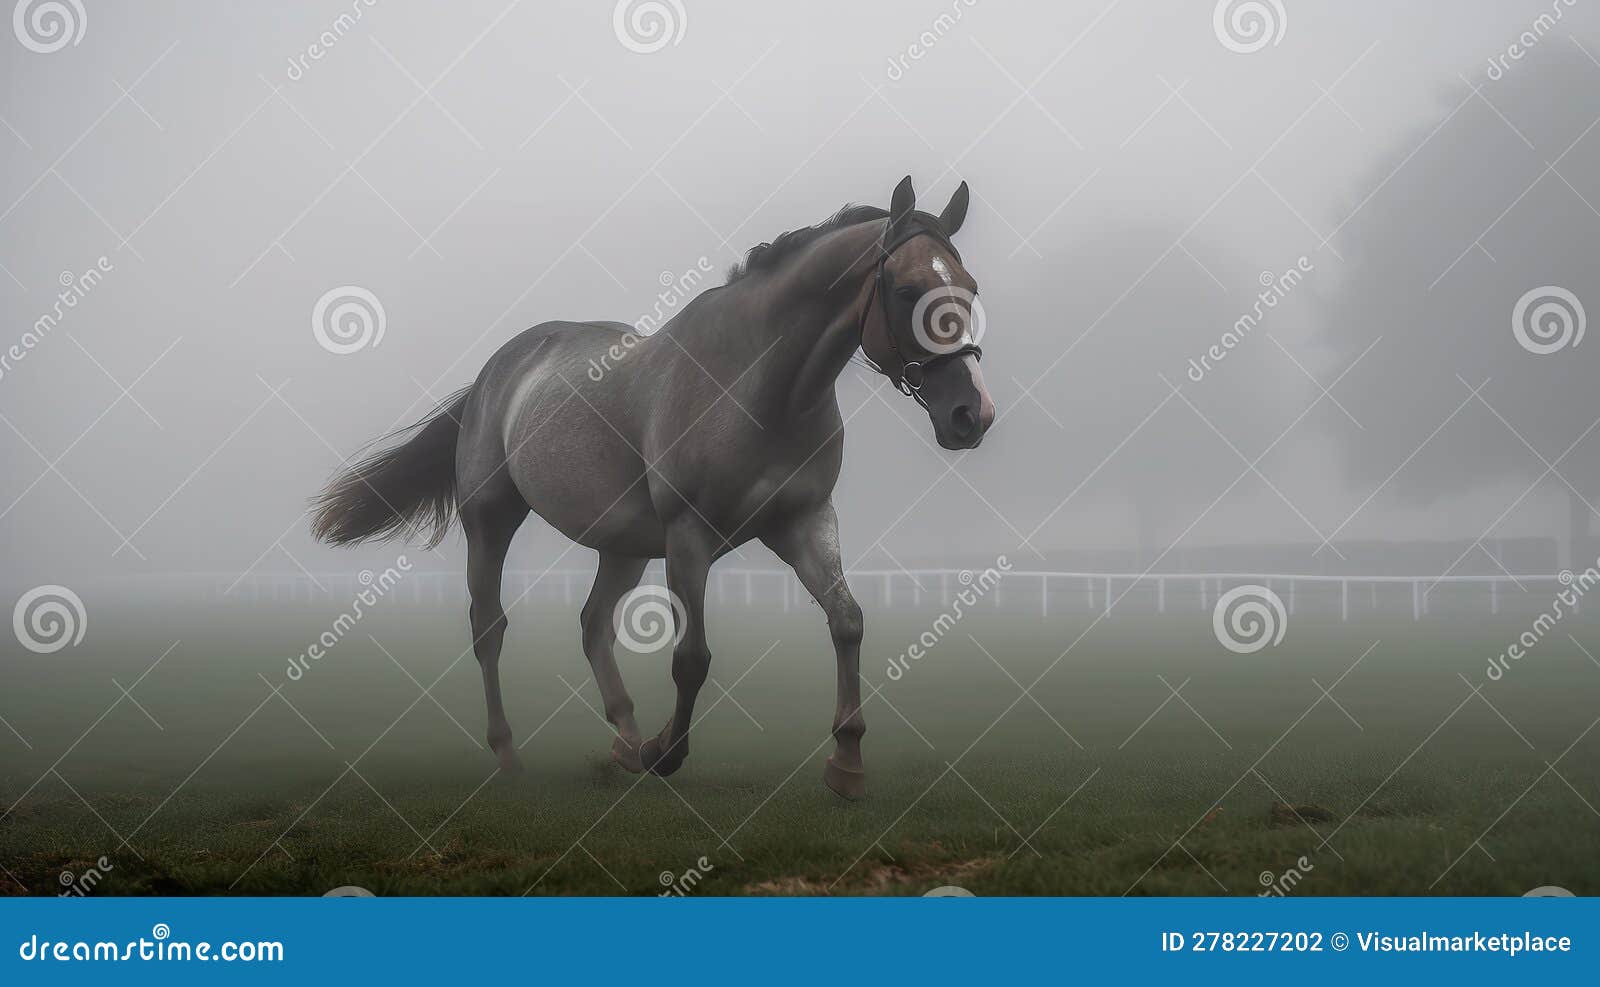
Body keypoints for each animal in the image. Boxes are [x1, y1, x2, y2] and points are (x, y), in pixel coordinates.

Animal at [305, 173, 992, 796]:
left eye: (969, 289)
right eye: (906, 289)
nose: (971, 414)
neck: (756, 386)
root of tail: (495, 372)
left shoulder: (804, 521)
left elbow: (847, 621)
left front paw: (846, 763)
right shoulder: (689, 535)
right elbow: (692, 658)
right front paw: (668, 752)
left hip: (624, 546)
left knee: (592, 625)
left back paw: (626, 743)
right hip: (492, 519)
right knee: (489, 627)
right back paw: (514, 755)